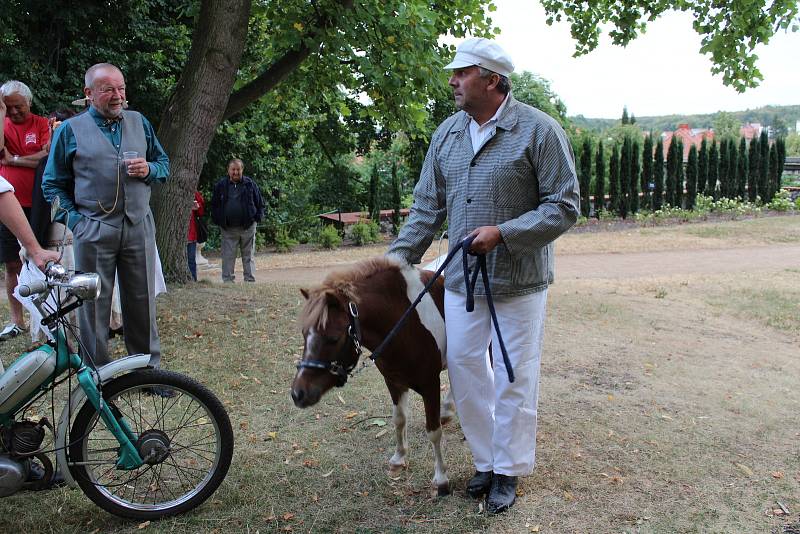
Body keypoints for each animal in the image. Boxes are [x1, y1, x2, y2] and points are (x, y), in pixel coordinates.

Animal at [292, 256, 456, 498]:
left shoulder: (430, 385)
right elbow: (399, 419)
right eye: (304, 334)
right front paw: (399, 458)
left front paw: (441, 479)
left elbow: (434, 432)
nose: (298, 393)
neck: (405, 322)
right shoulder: (394, 382)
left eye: (333, 338)